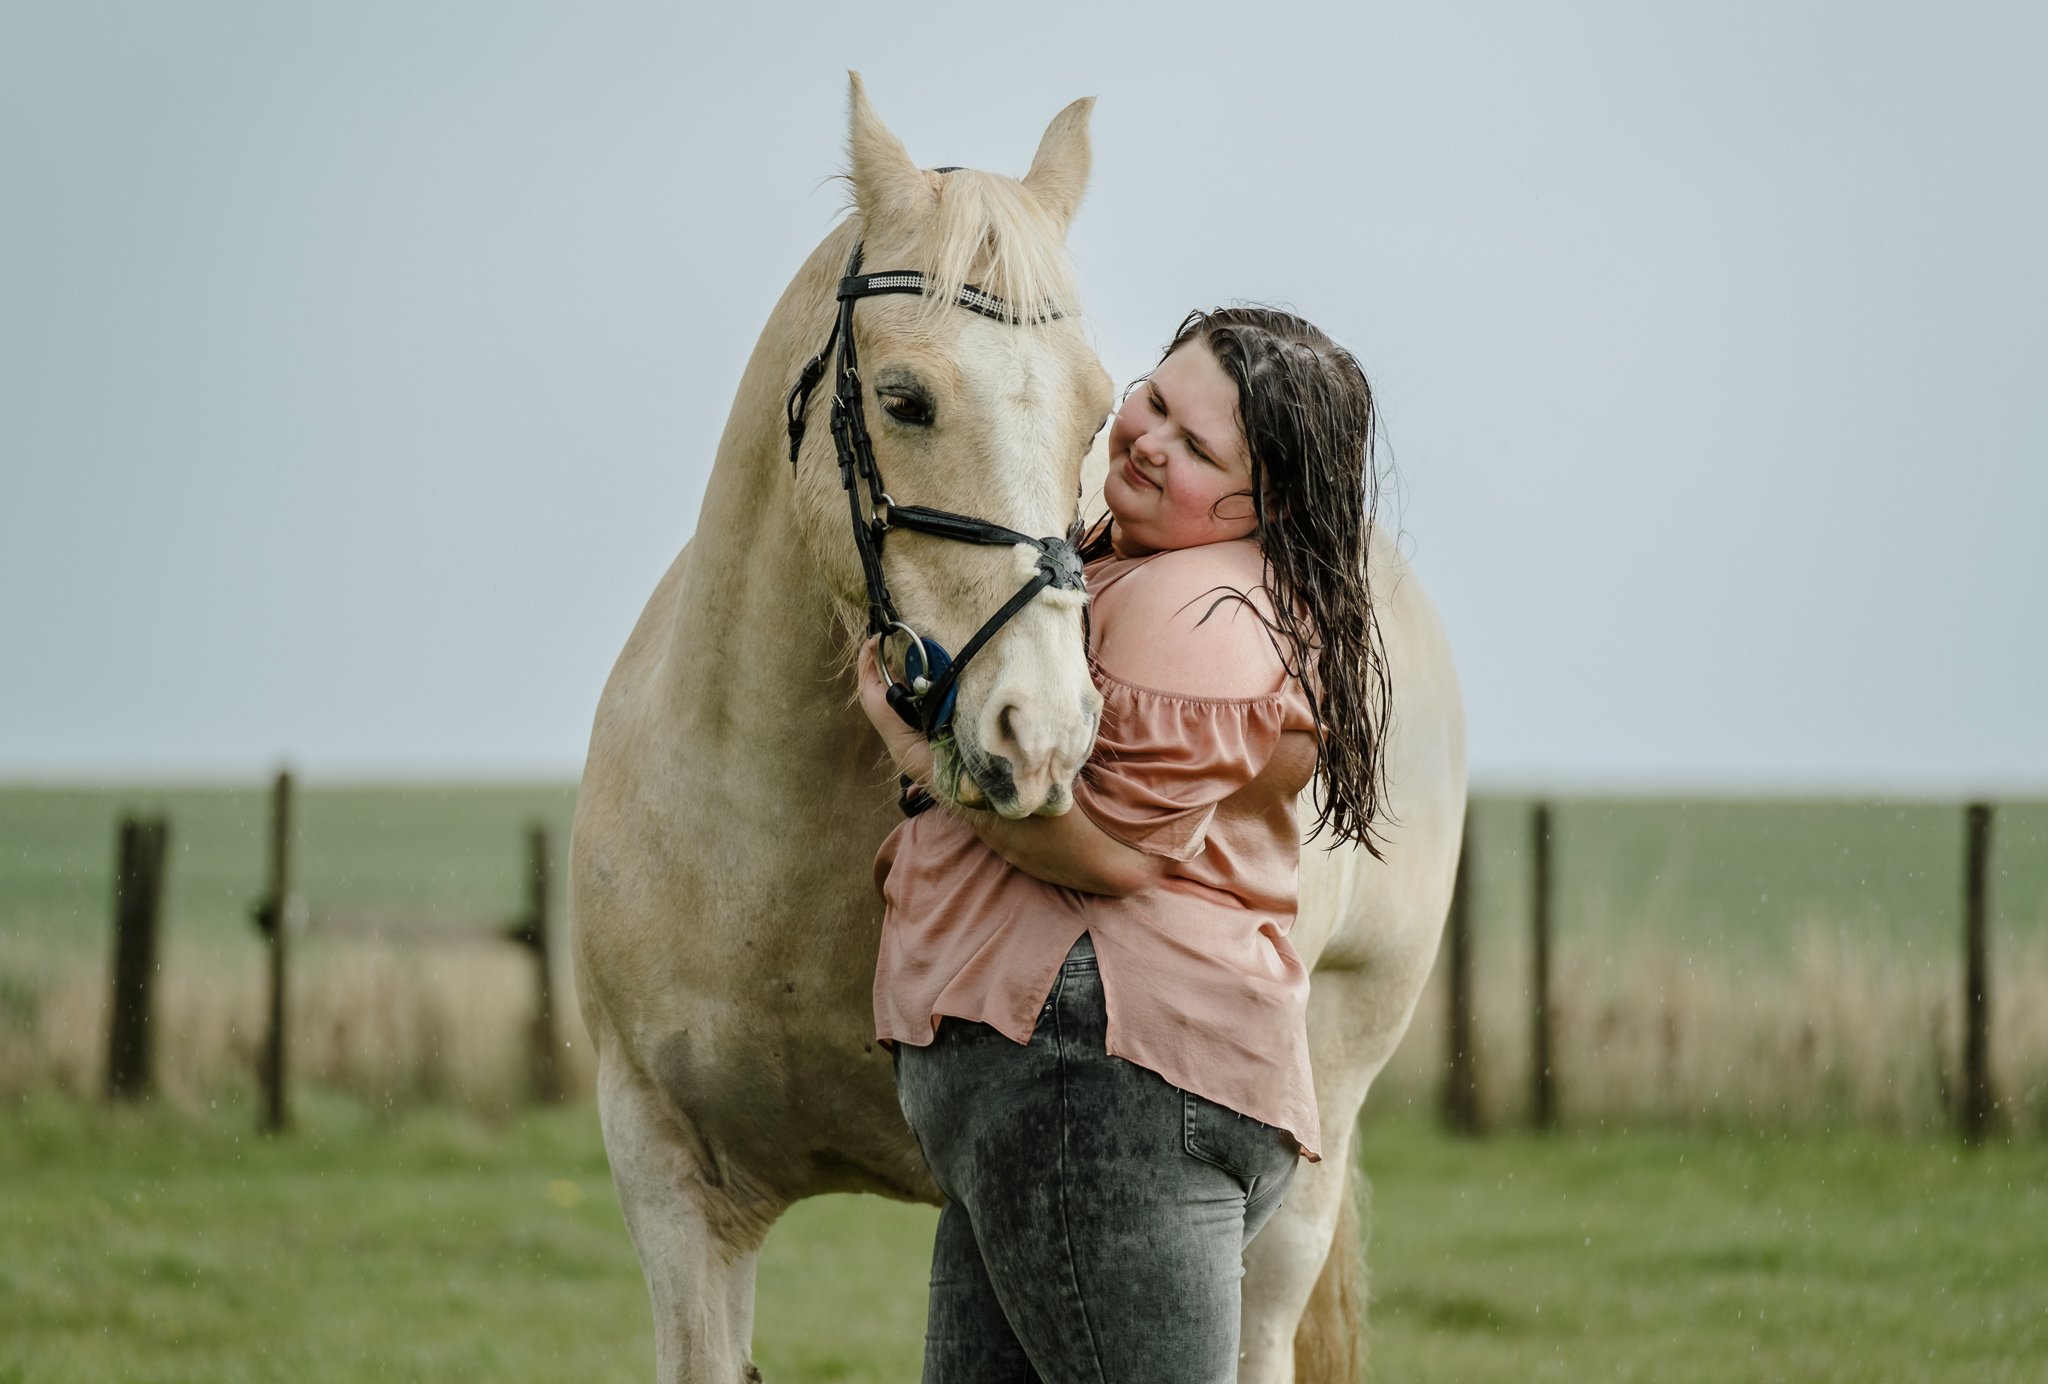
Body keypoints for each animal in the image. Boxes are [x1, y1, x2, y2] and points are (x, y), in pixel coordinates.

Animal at [570, 74, 1467, 1383]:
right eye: (906, 399)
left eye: (1100, 413)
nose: (1039, 736)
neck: (758, 841)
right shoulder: (671, 1188)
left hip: (1306, 1156)